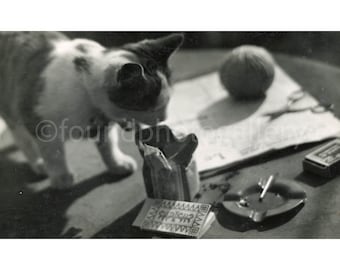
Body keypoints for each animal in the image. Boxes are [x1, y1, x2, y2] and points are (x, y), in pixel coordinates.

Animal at [0, 31, 183, 188]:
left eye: (167, 102)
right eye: (152, 107)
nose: (163, 117)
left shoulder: (105, 124)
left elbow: (108, 145)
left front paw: (117, 164)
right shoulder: (40, 123)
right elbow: (54, 153)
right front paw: (61, 177)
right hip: (13, 110)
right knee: (23, 140)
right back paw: (39, 164)